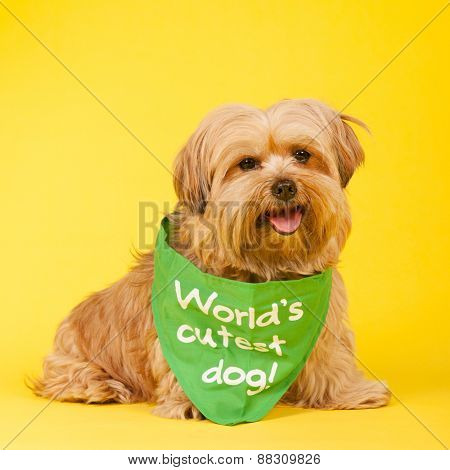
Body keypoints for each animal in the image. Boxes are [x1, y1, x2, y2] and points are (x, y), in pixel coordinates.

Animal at [33, 98, 390, 418]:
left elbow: (329, 357)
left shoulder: (325, 317)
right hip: (72, 355)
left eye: (302, 155)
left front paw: (348, 393)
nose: (284, 186)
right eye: (247, 163)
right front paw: (190, 402)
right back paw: (99, 387)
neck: (264, 268)